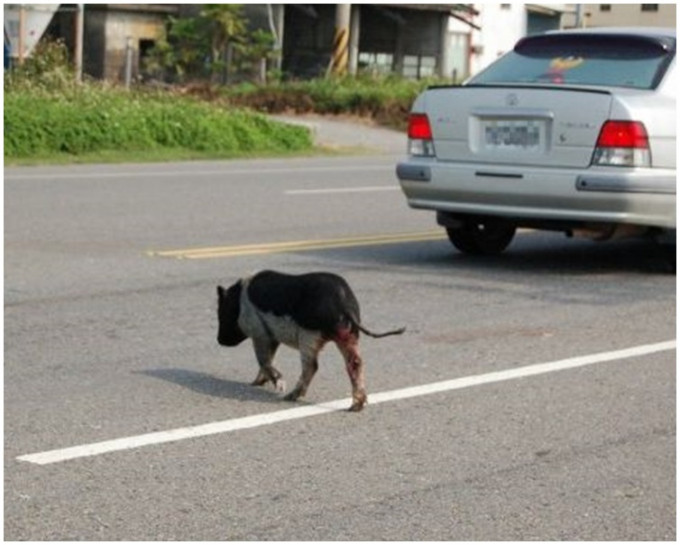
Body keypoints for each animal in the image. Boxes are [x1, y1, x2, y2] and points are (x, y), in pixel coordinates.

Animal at [216, 270, 404, 410]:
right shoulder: (272, 337)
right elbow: (269, 359)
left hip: (308, 335)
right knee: (355, 362)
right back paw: (355, 406)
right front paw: (255, 383)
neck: (239, 303)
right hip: (348, 334)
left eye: (221, 313)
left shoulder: (259, 332)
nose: (219, 341)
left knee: (312, 366)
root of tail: (344, 304)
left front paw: (277, 385)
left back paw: (289, 396)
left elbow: (263, 360)